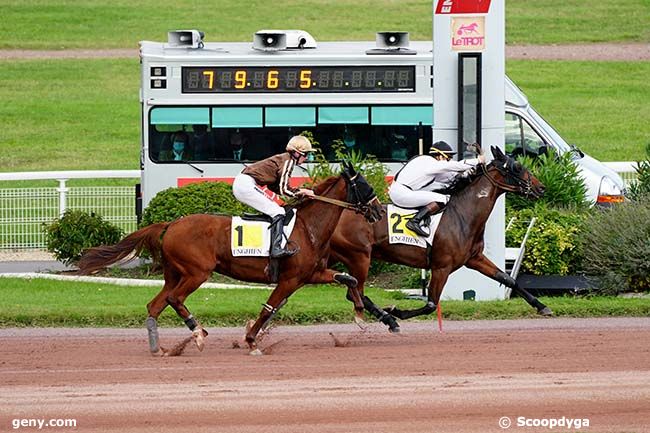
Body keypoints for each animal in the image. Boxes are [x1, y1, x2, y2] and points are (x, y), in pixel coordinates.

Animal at [76, 162, 382, 354]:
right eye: (364, 185)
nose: (379, 210)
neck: (308, 228)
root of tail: (172, 223)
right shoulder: (290, 279)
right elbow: (268, 309)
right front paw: (251, 341)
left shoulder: (311, 275)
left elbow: (349, 278)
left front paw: (359, 314)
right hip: (196, 272)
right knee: (175, 299)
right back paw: (198, 334)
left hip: (174, 273)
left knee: (155, 305)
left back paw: (159, 347)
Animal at [326, 145, 548, 330]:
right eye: (517, 167)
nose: (541, 188)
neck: (462, 215)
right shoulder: (441, 267)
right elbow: (431, 304)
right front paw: (397, 311)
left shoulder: (474, 258)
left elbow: (508, 279)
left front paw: (541, 306)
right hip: (360, 256)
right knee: (354, 290)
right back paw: (388, 318)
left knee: (353, 290)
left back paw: (386, 318)